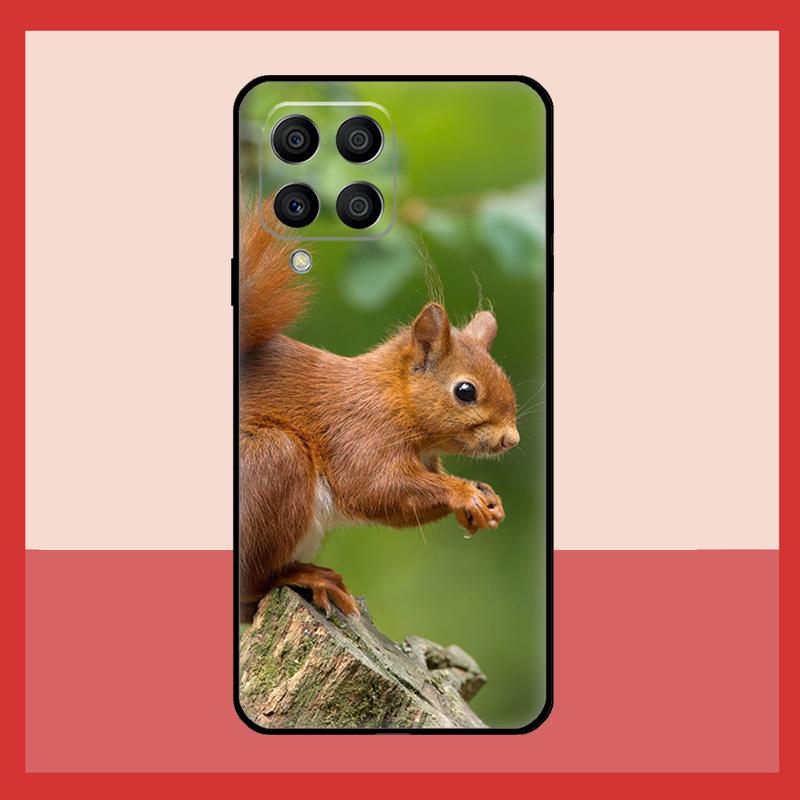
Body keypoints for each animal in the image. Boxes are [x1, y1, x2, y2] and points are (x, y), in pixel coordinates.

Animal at [239, 203, 519, 622]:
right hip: (272, 459)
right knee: (253, 578)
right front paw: (462, 493)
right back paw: (306, 576)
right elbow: (374, 487)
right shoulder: (359, 431)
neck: (394, 398)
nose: (511, 439)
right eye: (465, 391)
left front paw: (488, 500)